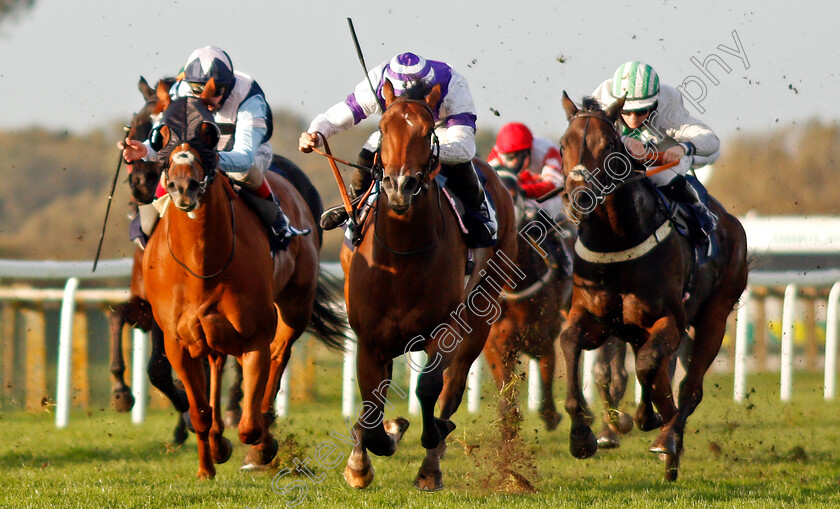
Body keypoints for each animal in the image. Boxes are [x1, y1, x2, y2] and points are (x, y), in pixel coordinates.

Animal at [143, 83, 342, 476]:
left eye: (206, 135)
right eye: (163, 134)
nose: (183, 185)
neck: (202, 266)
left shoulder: (254, 337)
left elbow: (250, 424)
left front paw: (260, 448)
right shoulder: (178, 342)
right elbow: (199, 412)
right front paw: (208, 464)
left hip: (294, 306)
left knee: (279, 356)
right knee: (217, 365)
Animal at [338, 81, 516, 490]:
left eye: (427, 131)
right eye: (383, 127)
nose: (399, 186)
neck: (403, 257)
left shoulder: (446, 329)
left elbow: (429, 388)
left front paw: (430, 443)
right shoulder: (370, 339)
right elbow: (371, 408)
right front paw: (363, 458)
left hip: (480, 320)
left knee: (452, 386)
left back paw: (434, 455)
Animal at [556, 92, 748, 480]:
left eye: (609, 145)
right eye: (563, 143)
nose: (579, 197)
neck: (617, 241)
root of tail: (732, 223)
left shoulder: (669, 319)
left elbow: (648, 367)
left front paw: (650, 420)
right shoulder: (597, 319)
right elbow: (570, 343)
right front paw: (581, 435)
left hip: (715, 315)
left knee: (690, 387)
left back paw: (669, 438)